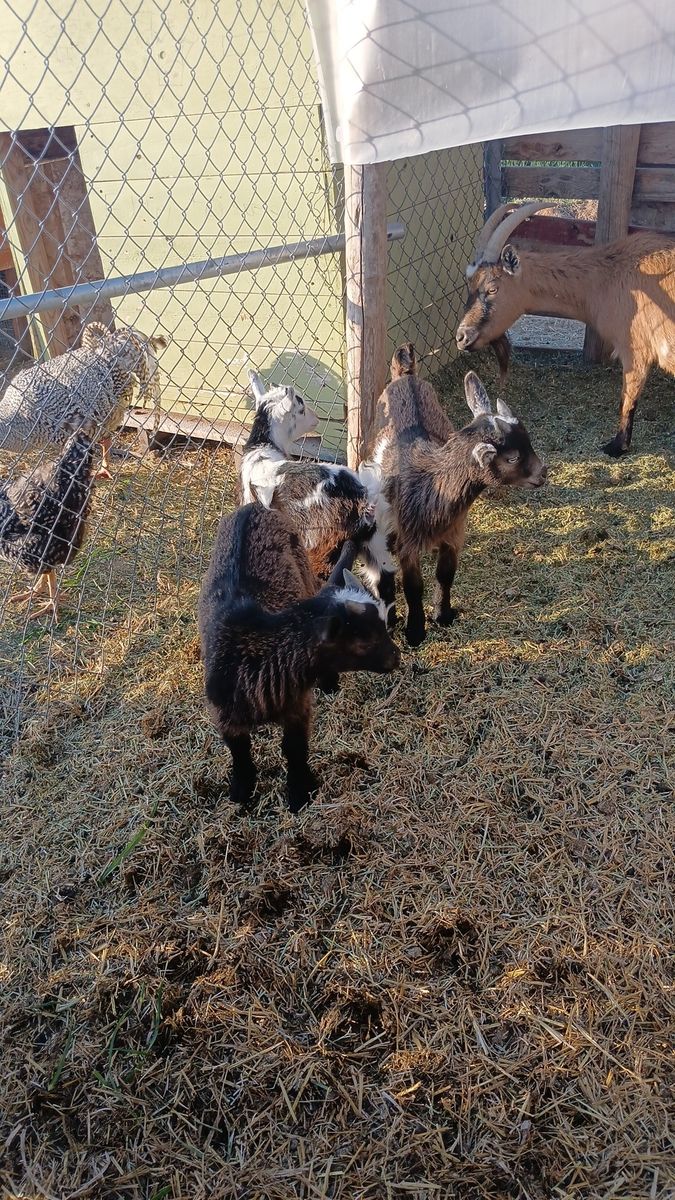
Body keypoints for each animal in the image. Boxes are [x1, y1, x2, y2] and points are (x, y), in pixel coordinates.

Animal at [198, 503, 400, 812]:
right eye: (363, 640)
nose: (396, 657)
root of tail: (253, 506)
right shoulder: (224, 715)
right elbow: (240, 753)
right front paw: (242, 793)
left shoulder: (298, 706)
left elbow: (295, 749)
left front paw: (299, 794)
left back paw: (328, 683)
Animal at [241, 370, 393, 586]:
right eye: (301, 408)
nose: (316, 419)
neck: (262, 447)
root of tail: (362, 495)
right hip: (374, 541)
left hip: (324, 543)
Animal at [366, 345, 547, 647]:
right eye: (512, 457)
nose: (543, 473)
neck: (430, 484)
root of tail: (406, 375)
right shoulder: (408, 540)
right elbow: (414, 587)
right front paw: (415, 632)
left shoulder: (454, 531)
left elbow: (445, 575)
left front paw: (443, 615)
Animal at [456, 200, 675, 456]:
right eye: (470, 285)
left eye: (492, 289)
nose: (462, 337)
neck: (607, 275)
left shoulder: (635, 349)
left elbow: (628, 398)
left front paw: (616, 446)